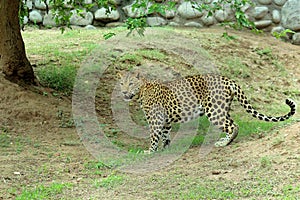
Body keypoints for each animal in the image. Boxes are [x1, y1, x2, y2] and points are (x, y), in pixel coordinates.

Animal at [118, 72, 296, 153]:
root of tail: (228, 79)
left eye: (131, 83)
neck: (141, 91)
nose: (124, 92)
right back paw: (224, 141)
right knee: (232, 124)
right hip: (222, 108)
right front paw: (165, 149)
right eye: (121, 83)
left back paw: (224, 143)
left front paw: (150, 151)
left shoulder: (155, 120)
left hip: (214, 111)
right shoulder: (166, 121)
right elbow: (166, 136)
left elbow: (155, 136)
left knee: (233, 126)